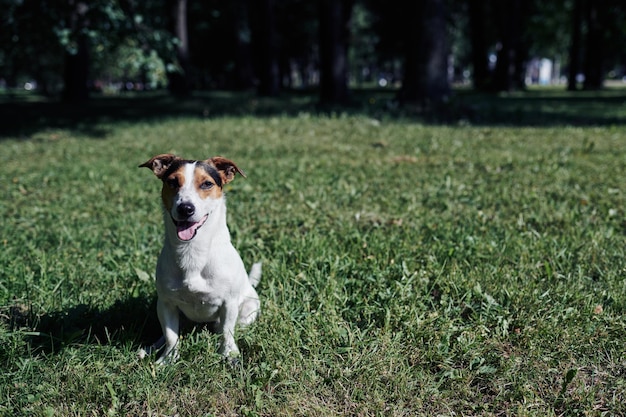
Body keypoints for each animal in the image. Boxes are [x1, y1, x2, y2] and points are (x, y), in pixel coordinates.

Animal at [138, 154, 260, 362]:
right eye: (172, 182)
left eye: (207, 184)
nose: (185, 208)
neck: (192, 250)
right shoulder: (166, 304)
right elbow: (171, 336)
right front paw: (168, 360)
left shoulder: (229, 303)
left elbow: (227, 332)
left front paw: (230, 354)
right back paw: (150, 348)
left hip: (249, 308)